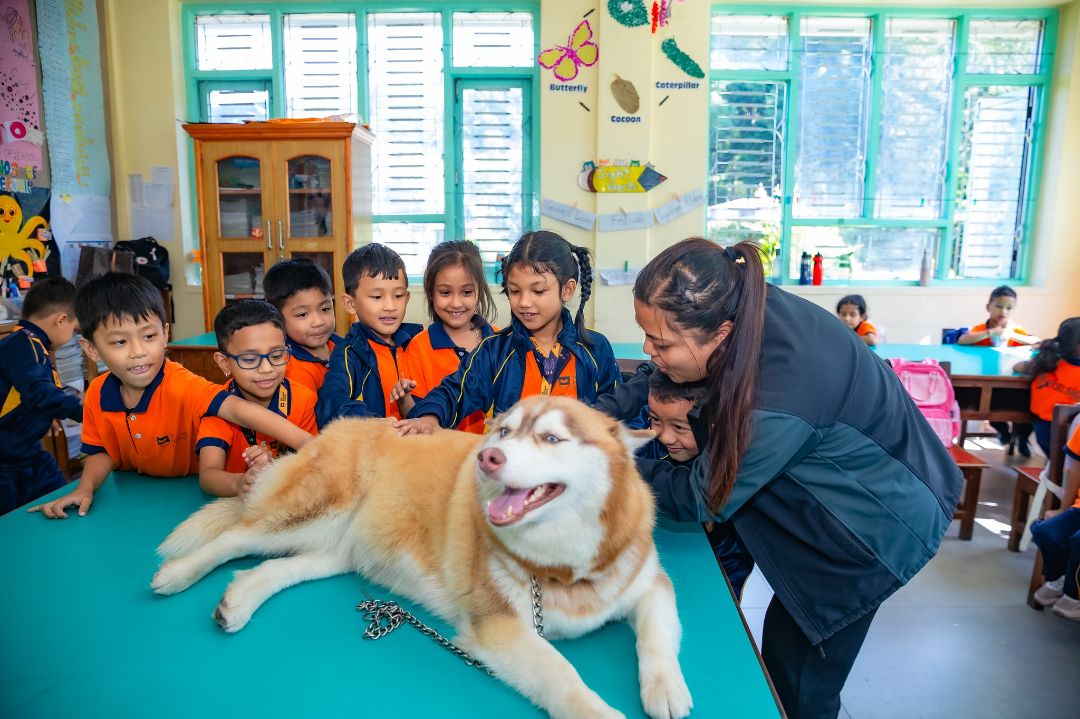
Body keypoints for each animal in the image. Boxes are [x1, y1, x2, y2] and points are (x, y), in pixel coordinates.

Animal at [151, 395, 693, 719]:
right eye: (503, 432)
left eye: (552, 438)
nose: (487, 458)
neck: (560, 565)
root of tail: (340, 426)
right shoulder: (498, 625)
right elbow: (561, 672)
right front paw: (599, 711)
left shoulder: (651, 584)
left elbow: (658, 636)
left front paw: (665, 687)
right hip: (310, 510)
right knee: (236, 538)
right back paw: (178, 573)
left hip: (338, 549)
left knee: (274, 567)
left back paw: (239, 599)